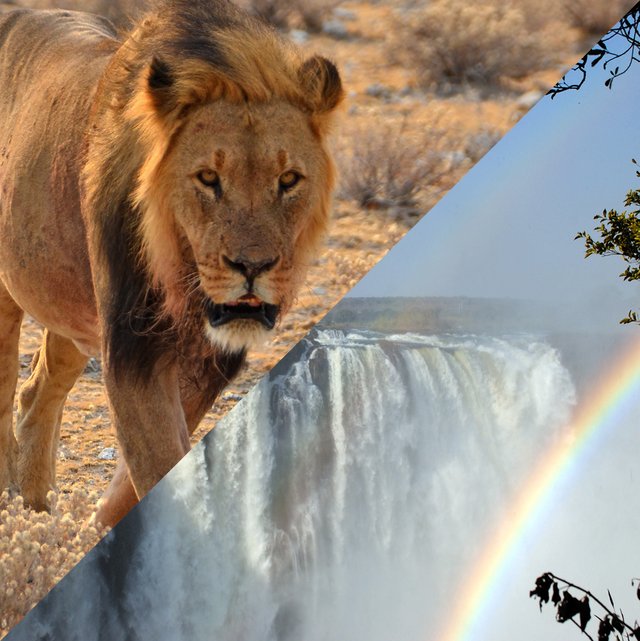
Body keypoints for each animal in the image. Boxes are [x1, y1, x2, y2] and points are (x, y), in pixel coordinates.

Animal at [0, 0, 343, 526]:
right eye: (208, 178)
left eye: (288, 180)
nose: (253, 266)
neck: (184, 280)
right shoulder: (133, 350)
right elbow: (160, 463)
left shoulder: (207, 363)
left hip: (70, 299)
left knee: (38, 389)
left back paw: (36, 509)